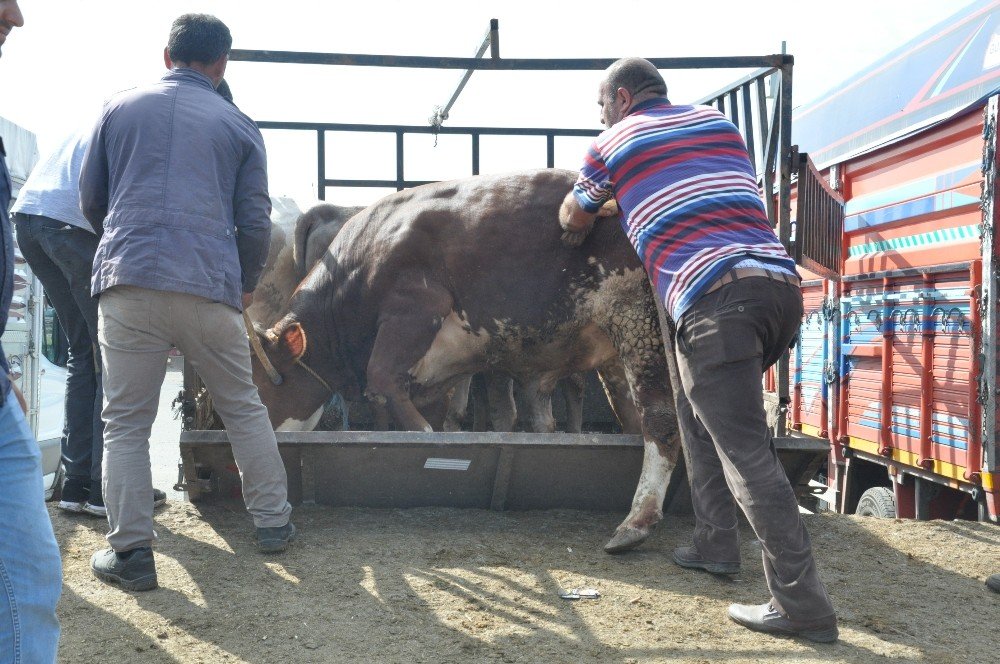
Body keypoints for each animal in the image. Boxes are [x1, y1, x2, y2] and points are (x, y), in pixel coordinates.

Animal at [254, 170, 684, 548]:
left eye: (260, 388)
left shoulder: (416, 306)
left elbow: (386, 385)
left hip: (636, 318)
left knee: (659, 418)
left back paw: (637, 520)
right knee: (631, 417)